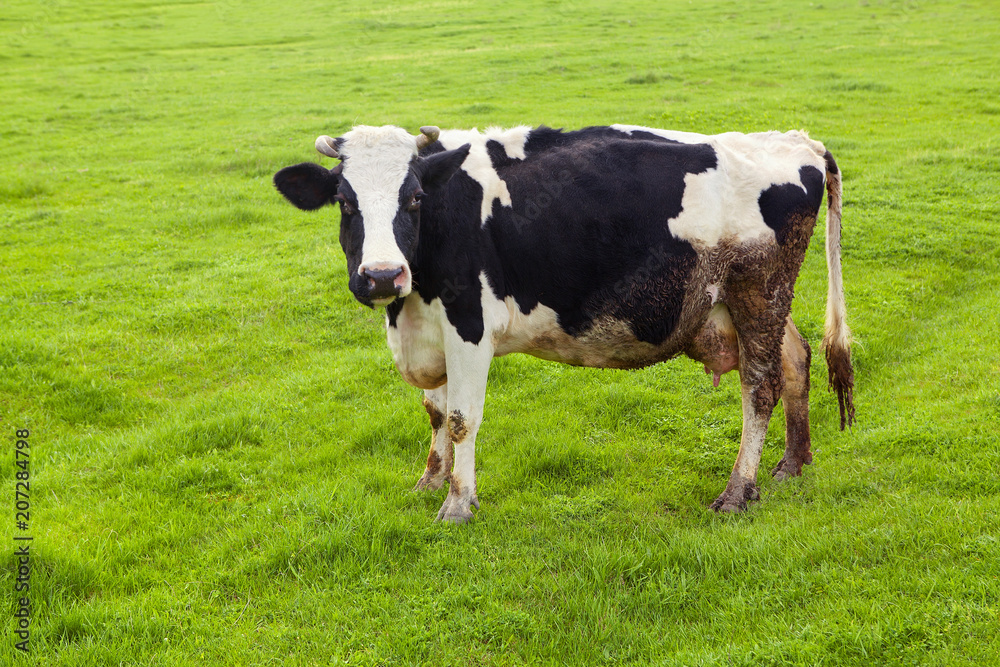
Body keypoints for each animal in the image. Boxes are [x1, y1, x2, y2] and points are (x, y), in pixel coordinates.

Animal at [272, 122, 852, 524]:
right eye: (344, 203)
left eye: (414, 198)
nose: (382, 275)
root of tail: (795, 141)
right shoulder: (429, 329)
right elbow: (434, 412)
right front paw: (430, 481)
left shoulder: (469, 326)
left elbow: (461, 418)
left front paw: (459, 503)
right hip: (753, 304)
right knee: (795, 359)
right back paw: (792, 463)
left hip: (758, 291)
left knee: (760, 387)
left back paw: (738, 491)